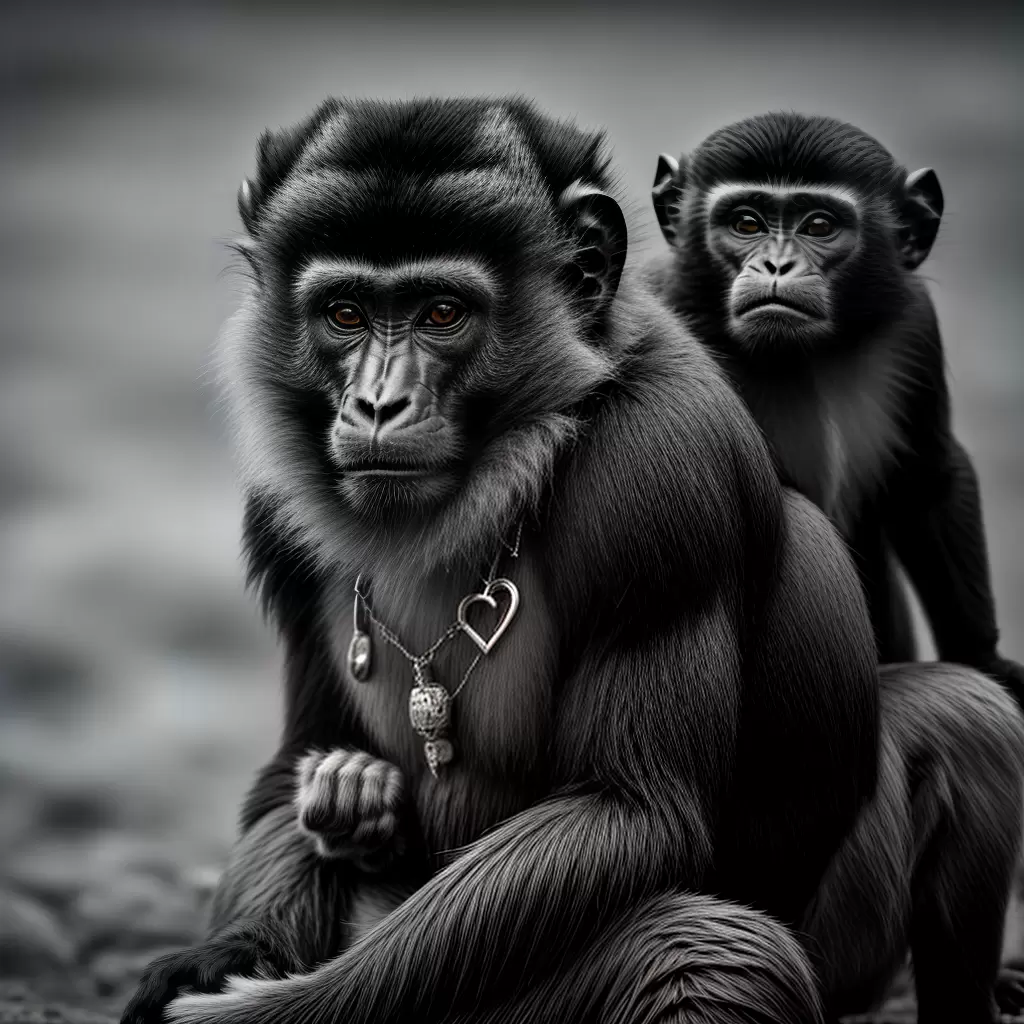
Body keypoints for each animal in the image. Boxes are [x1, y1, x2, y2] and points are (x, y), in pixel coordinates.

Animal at [121, 95, 885, 1024]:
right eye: (345, 313)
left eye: (443, 312)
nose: (377, 404)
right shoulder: (277, 513)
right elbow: (287, 774)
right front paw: (238, 939)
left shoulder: (664, 481)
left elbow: (628, 813)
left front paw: (249, 1009)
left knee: (710, 954)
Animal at [648, 112, 1024, 712]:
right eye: (747, 222)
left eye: (820, 225)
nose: (776, 263)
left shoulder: (914, 321)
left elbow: (928, 476)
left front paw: (984, 658)